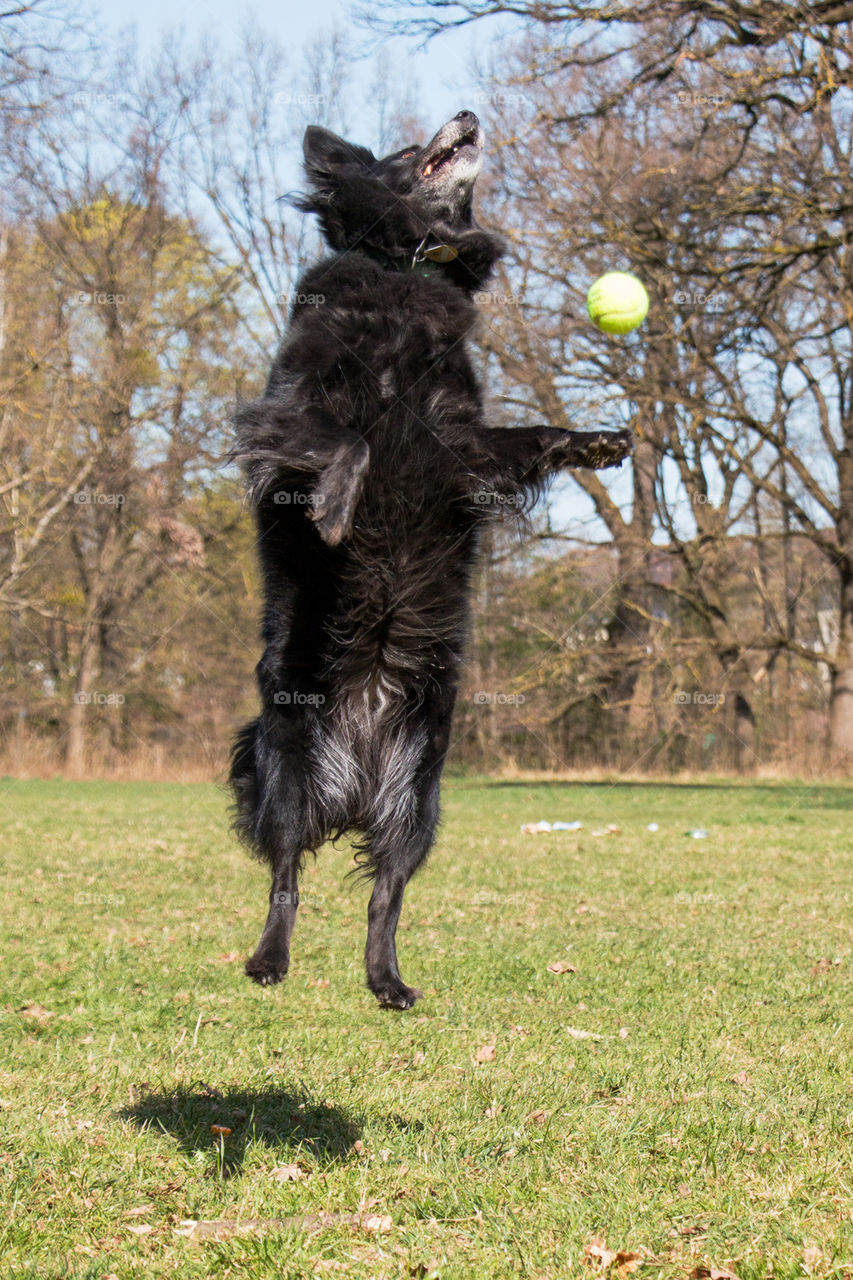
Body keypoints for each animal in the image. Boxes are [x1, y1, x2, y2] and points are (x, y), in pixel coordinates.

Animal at [229, 112, 627, 1008]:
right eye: (408, 152)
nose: (469, 116)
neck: (403, 269)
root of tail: (354, 778)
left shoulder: (463, 442)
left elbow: (531, 434)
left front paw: (593, 438)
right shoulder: (289, 408)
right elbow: (343, 444)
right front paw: (336, 507)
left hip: (420, 801)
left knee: (384, 895)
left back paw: (388, 983)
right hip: (285, 773)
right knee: (285, 878)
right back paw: (268, 960)